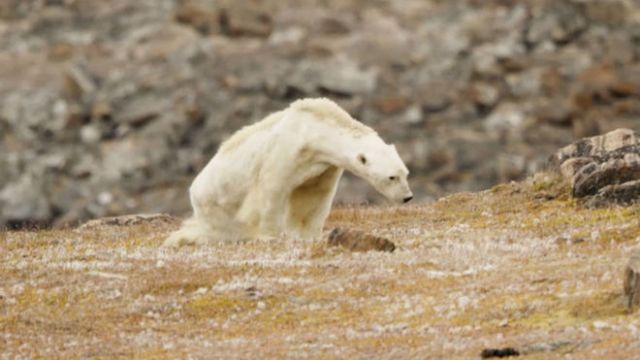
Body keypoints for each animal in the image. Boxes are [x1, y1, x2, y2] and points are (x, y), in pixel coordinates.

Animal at [162, 97, 412, 246]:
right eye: (392, 177)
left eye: (406, 173)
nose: (407, 197)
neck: (315, 130)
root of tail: (193, 189)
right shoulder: (286, 151)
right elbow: (272, 190)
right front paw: (271, 236)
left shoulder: (324, 166)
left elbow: (314, 196)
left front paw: (309, 235)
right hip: (217, 206)